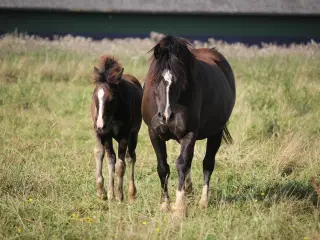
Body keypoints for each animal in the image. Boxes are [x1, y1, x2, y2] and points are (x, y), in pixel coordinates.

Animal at [91, 56, 144, 202]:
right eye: (94, 96)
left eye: (111, 98)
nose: (100, 125)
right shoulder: (106, 135)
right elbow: (110, 160)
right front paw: (110, 194)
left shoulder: (125, 136)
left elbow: (120, 165)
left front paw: (120, 196)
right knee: (101, 153)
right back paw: (102, 192)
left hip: (134, 134)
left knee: (131, 157)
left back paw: (131, 194)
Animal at [142, 36, 235, 214]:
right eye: (155, 79)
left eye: (179, 80)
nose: (165, 116)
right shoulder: (154, 133)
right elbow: (163, 167)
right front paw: (165, 204)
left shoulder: (189, 133)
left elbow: (182, 164)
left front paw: (179, 206)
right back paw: (189, 191)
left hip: (216, 133)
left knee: (207, 163)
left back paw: (203, 201)